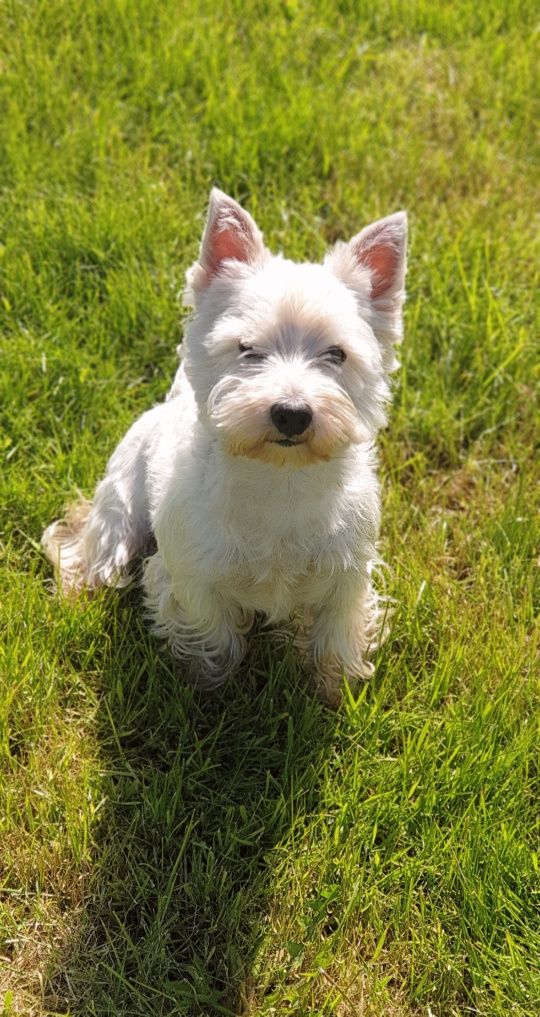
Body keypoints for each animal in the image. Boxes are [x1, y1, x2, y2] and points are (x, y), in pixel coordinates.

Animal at [42, 187, 408, 703]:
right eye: (247, 348)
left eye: (337, 354)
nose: (292, 413)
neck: (278, 479)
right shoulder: (192, 574)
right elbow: (212, 632)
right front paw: (207, 686)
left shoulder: (347, 575)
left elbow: (333, 636)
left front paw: (333, 690)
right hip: (119, 512)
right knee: (87, 549)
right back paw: (78, 592)